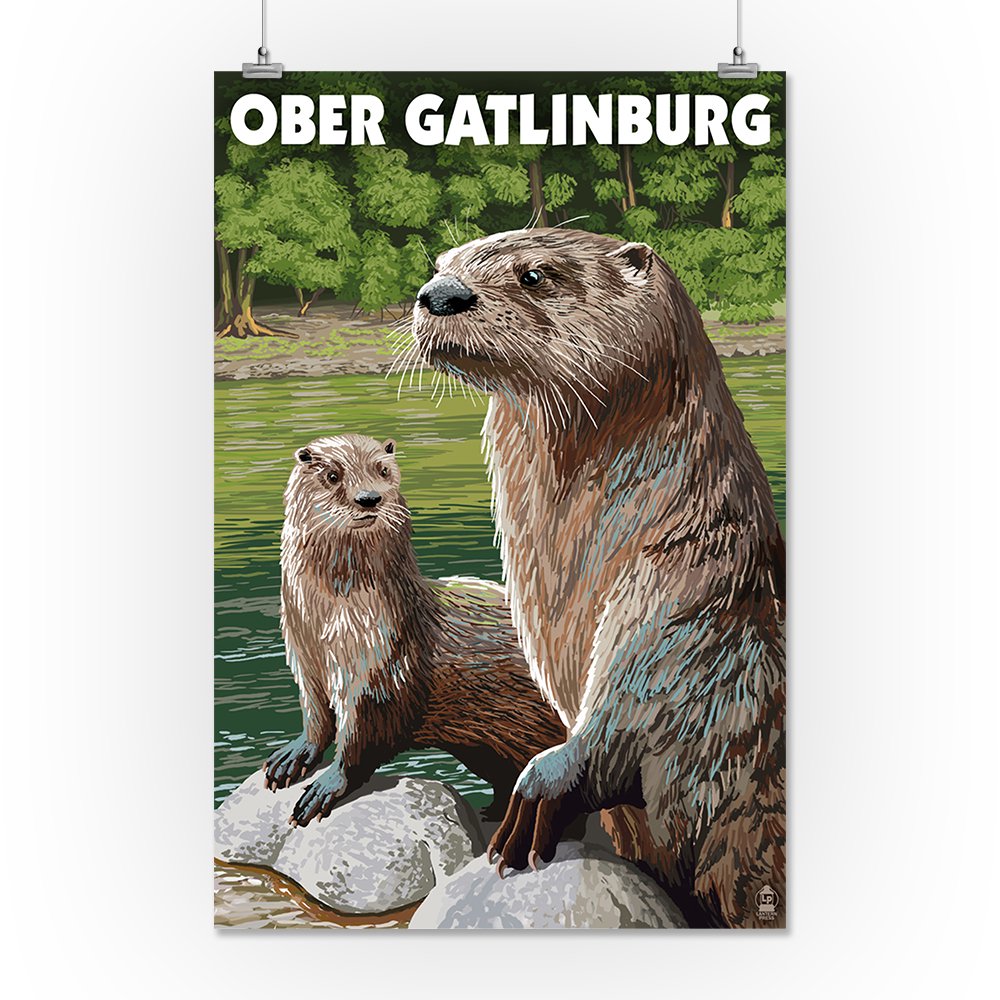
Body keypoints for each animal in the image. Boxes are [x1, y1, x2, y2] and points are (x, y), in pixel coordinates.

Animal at [263, 433, 566, 828]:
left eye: (383, 470)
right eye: (331, 475)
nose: (369, 498)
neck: (326, 625)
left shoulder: (383, 664)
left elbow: (364, 736)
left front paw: (328, 784)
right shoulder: (302, 655)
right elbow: (315, 715)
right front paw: (294, 754)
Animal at [411, 228, 785, 929]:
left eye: (535, 274)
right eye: (443, 263)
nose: (438, 294)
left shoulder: (683, 604)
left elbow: (632, 711)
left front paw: (540, 791)